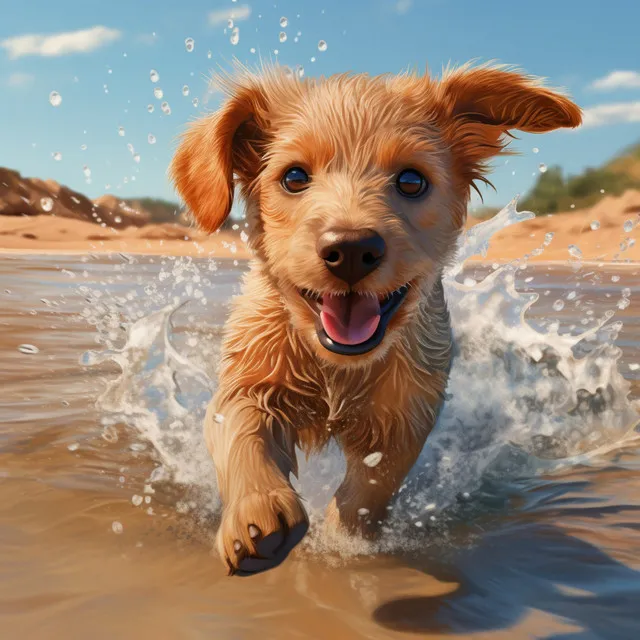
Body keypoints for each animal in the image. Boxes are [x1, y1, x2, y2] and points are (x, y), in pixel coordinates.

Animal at [172, 63, 584, 576]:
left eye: (411, 181)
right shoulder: (250, 377)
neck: (337, 366)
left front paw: (346, 534)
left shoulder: (408, 408)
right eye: (293, 177)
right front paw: (257, 512)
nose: (350, 249)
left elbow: (375, 482)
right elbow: (243, 431)